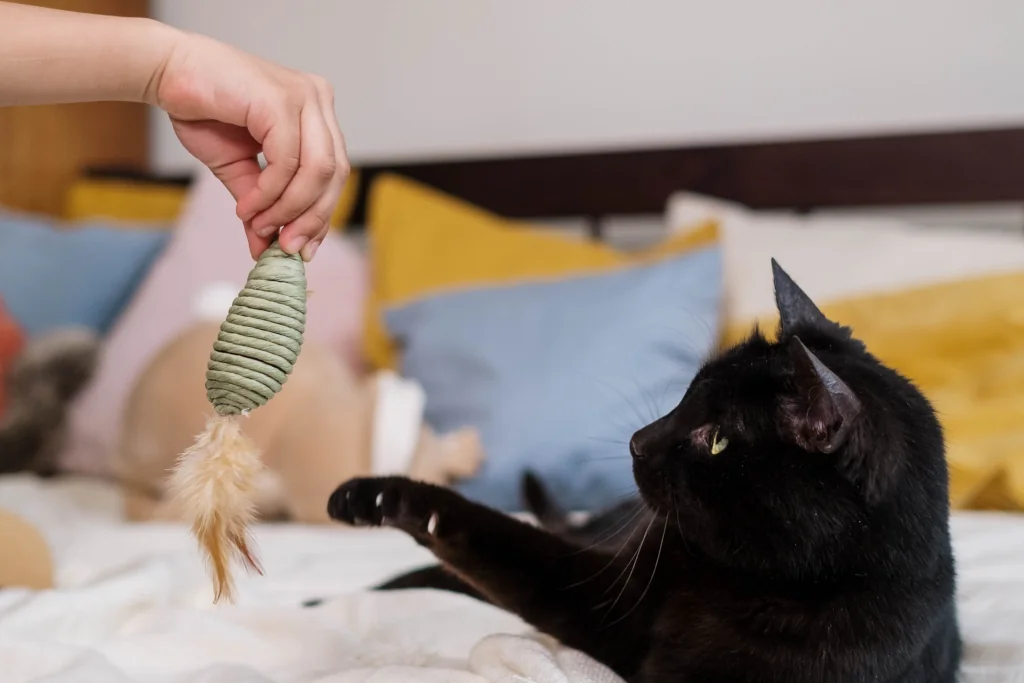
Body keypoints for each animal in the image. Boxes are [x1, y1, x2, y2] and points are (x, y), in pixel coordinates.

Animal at [331, 259, 962, 679]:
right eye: (686, 395)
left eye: (717, 440)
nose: (637, 441)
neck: (747, 583)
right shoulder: (606, 590)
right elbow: (488, 533)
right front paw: (378, 497)